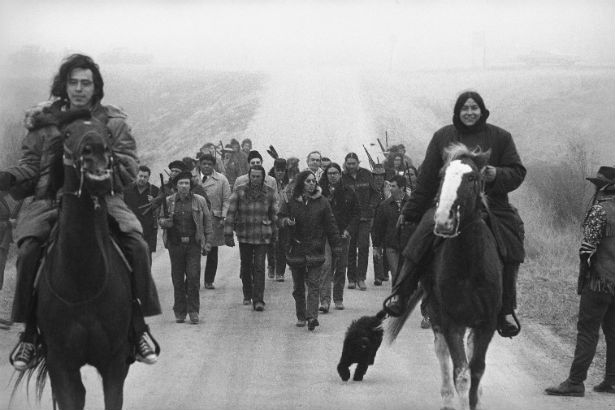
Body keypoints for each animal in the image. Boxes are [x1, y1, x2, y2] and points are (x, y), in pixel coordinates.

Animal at [388, 143, 502, 410]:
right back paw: (447, 399)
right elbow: (461, 373)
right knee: (441, 353)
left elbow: (476, 370)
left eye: (471, 178)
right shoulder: (452, 322)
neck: (470, 266)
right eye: (441, 176)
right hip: (436, 312)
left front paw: (476, 400)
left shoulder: (487, 324)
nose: (443, 220)